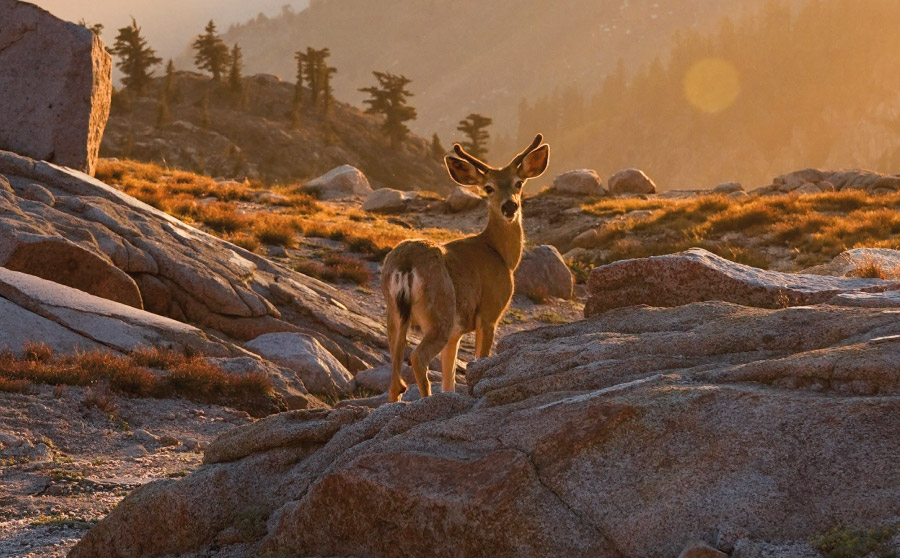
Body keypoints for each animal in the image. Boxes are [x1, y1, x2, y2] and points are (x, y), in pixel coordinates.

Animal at [380, 134, 548, 404]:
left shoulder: (456, 332)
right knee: (417, 357)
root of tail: (406, 264)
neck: (500, 254)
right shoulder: (489, 312)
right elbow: (480, 359)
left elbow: (449, 380)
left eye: (519, 183)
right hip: (441, 311)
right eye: (488, 187)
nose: (509, 207)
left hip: (393, 313)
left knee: (395, 376)